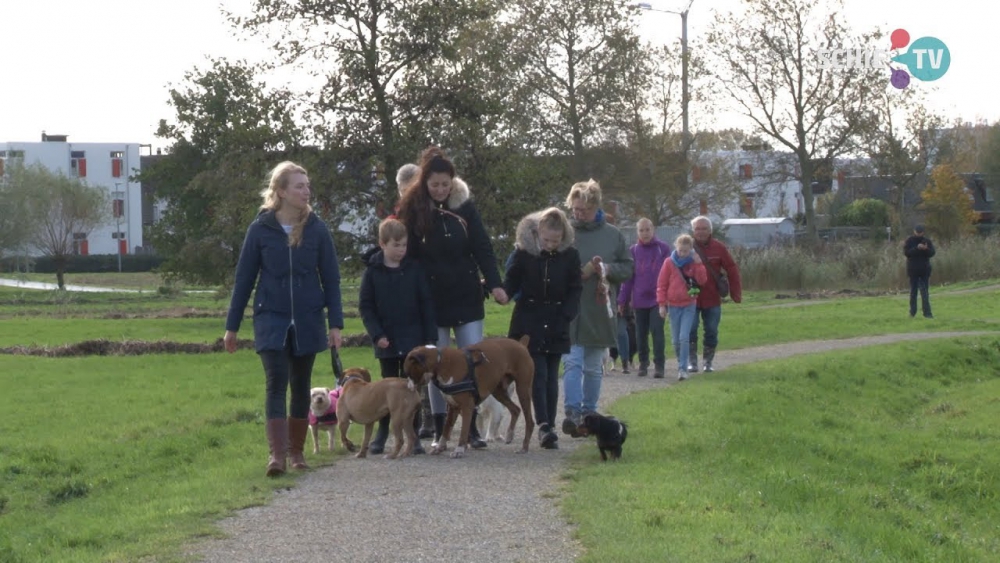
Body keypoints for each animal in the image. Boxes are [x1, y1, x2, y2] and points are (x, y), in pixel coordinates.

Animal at [404, 334, 536, 458]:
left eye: (408, 372)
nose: (408, 387)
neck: (441, 361)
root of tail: (521, 344)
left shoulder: (467, 406)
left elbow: (464, 429)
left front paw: (459, 450)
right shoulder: (453, 407)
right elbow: (446, 429)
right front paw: (440, 447)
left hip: (523, 389)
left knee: (529, 421)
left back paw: (524, 447)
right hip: (498, 392)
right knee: (515, 409)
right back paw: (509, 434)